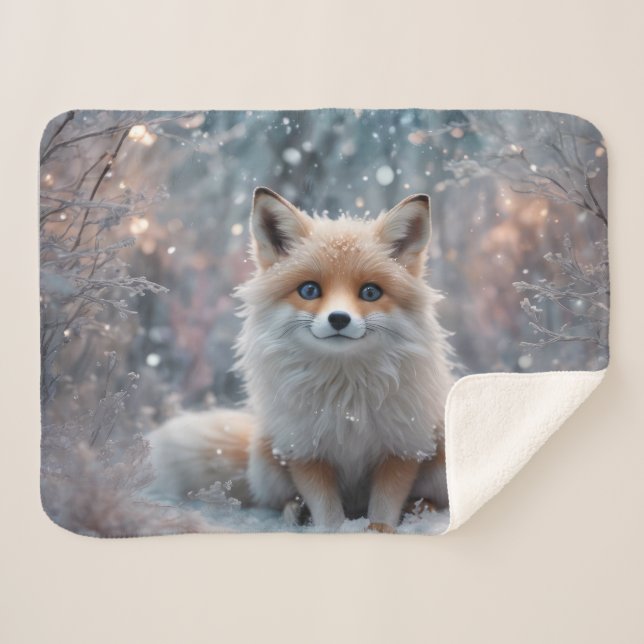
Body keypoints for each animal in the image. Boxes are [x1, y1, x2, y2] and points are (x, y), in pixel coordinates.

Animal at [147, 187, 455, 532]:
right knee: (277, 499)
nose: (339, 319)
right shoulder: (304, 450)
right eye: (309, 290)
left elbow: (385, 507)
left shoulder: (402, 447)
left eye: (370, 293)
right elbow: (327, 512)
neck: (345, 399)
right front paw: (330, 532)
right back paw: (295, 512)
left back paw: (420, 510)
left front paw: (381, 531)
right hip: (267, 458)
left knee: (434, 499)